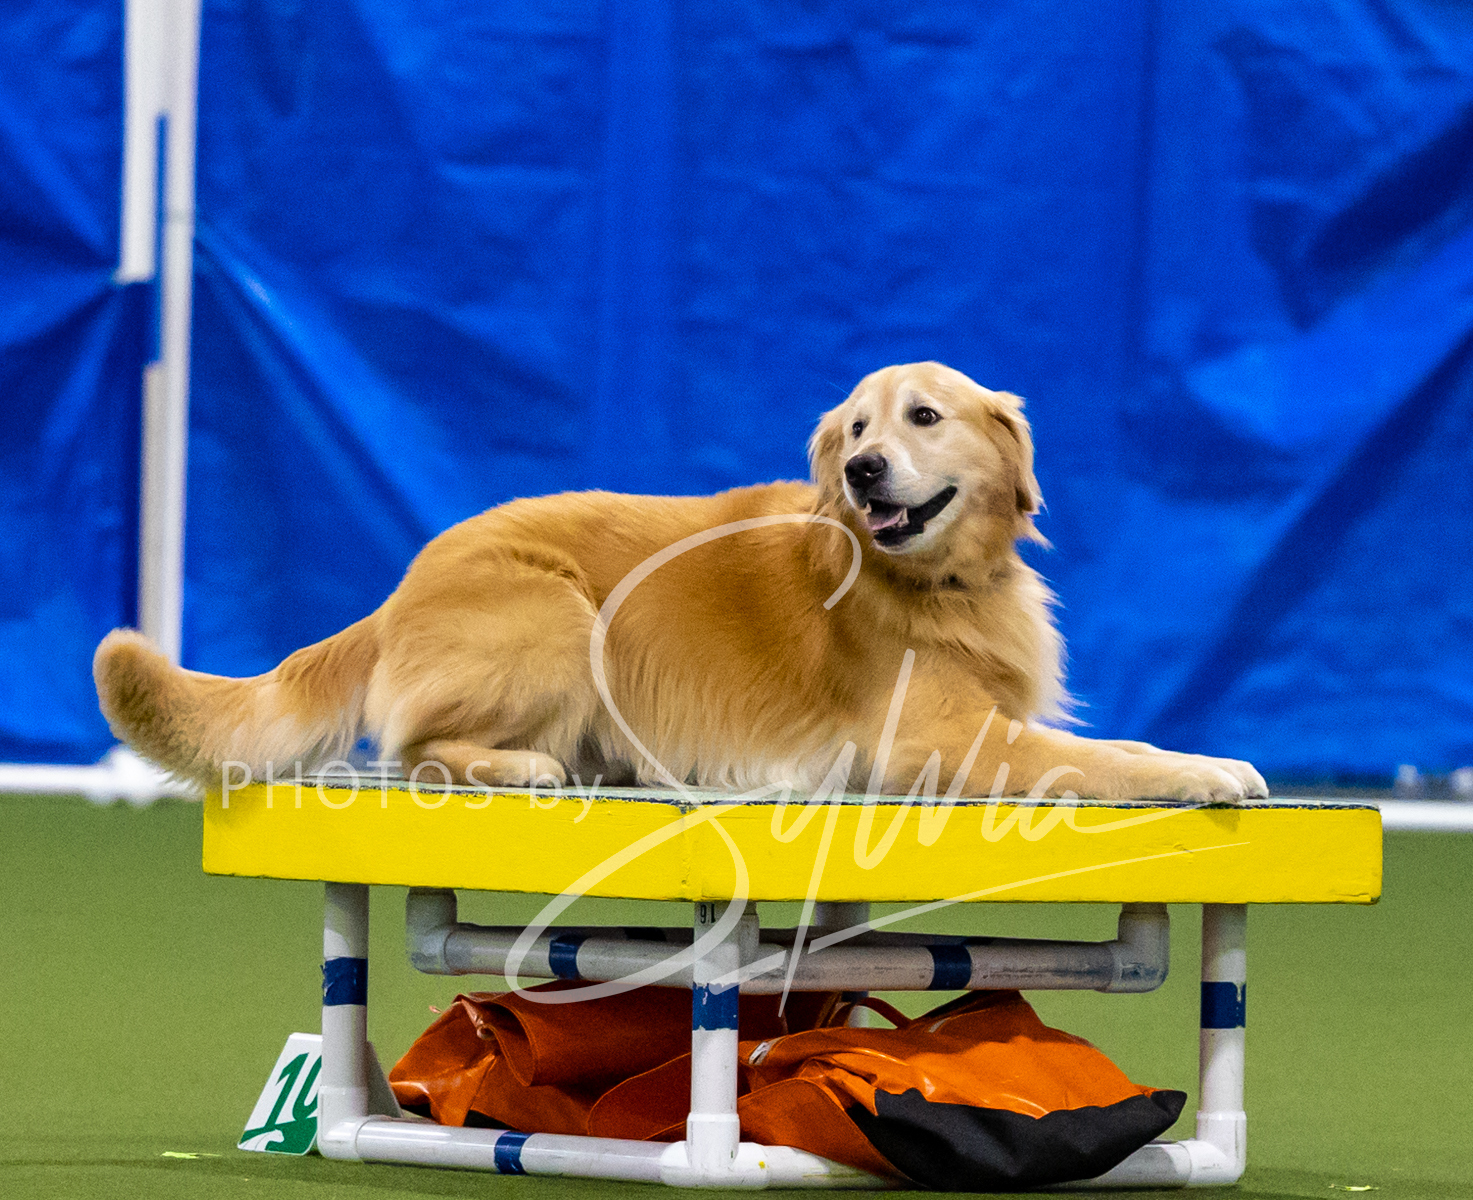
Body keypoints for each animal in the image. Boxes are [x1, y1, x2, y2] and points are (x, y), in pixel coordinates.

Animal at [94, 361, 1266, 804]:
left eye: (922, 418)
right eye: (854, 429)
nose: (861, 473)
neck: (935, 583)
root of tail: (404, 584)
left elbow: (1120, 746)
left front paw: (1208, 758)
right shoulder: (943, 742)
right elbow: (1097, 762)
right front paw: (1207, 773)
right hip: (561, 615)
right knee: (415, 747)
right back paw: (526, 765)